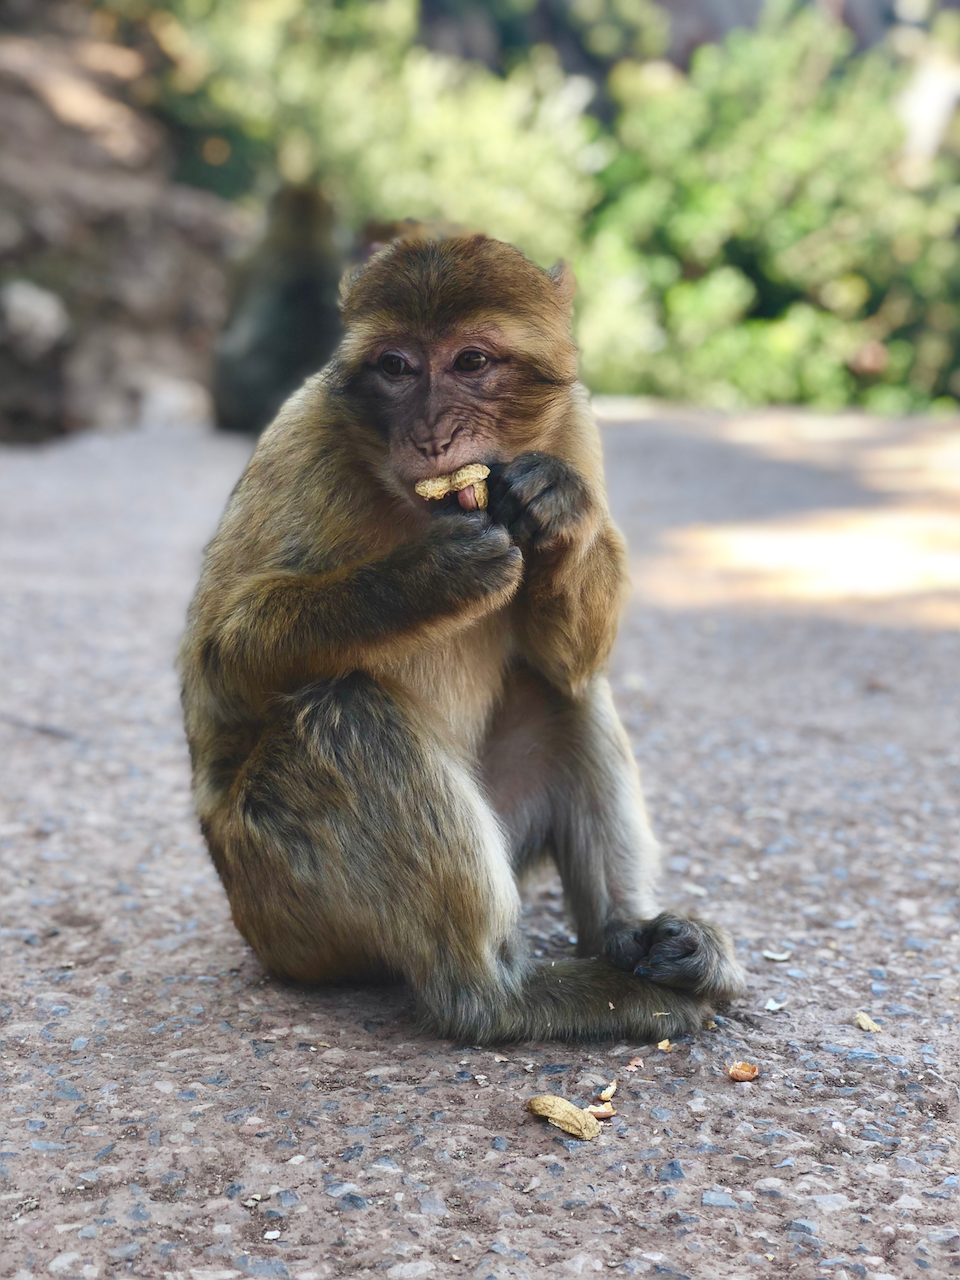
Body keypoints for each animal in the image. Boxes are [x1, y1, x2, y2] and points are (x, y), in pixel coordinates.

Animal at [181, 235, 752, 1044]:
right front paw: (426, 577)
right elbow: (220, 658)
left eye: (471, 362)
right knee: (345, 712)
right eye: (396, 366)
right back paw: (504, 995)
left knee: (565, 690)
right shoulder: (298, 442)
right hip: (285, 904)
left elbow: (573, 660)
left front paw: (559, 511)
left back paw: (637, 939)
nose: (430, 435)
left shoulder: (574, 429)